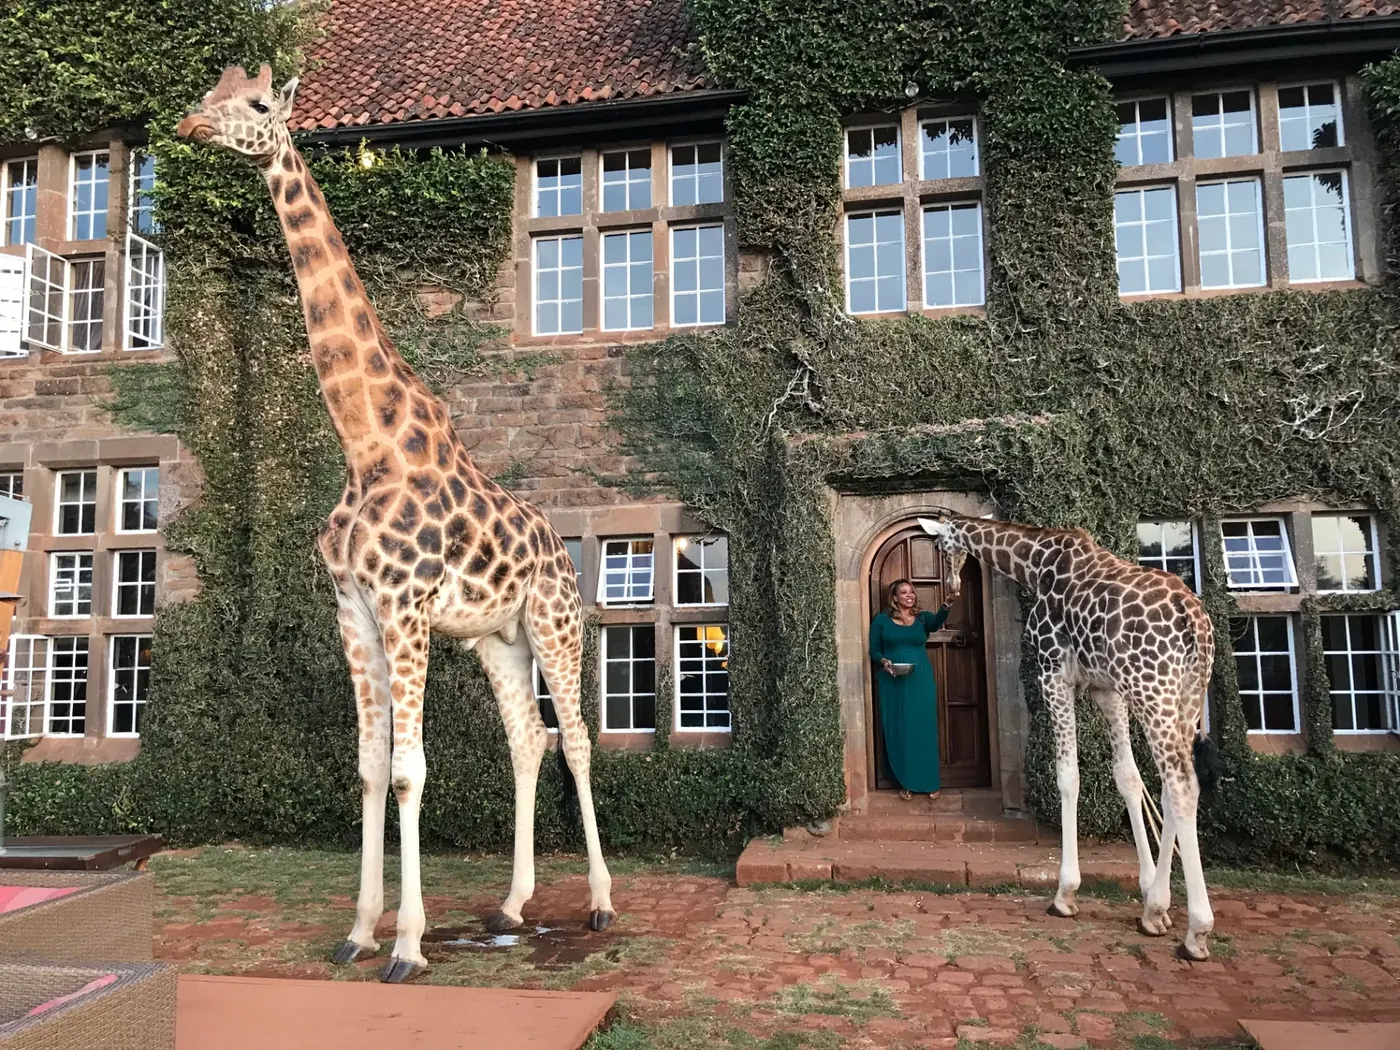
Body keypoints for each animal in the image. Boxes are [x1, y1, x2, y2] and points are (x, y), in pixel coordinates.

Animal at [176, 64, 614, 982]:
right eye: (209, 91)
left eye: (258, 106)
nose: (192, 126)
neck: (365, 442)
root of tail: (561, 548)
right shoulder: (353, 609)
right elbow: (371, 770)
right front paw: (359, 928)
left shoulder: (404, 608)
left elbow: (411, 771)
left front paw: (407, 943)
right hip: (495, 638)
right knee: (529, 740)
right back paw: (513, 904)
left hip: (555, 624)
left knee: (579, 740)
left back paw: (599, 901)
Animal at [917, 513, 1217, 961]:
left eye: (939, 547)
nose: (950, 588)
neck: (1034, 565)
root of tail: (1193, 618)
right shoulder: (1106, 689)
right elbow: (1128, 778)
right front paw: (1149, 895)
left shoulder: (1054, 674)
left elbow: (1068, 776)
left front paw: (1065, 893)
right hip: (1187, 695)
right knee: (1170, 787)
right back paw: (1156, 911)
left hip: (1152, 689)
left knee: (1181, 785)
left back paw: (1197, 931)